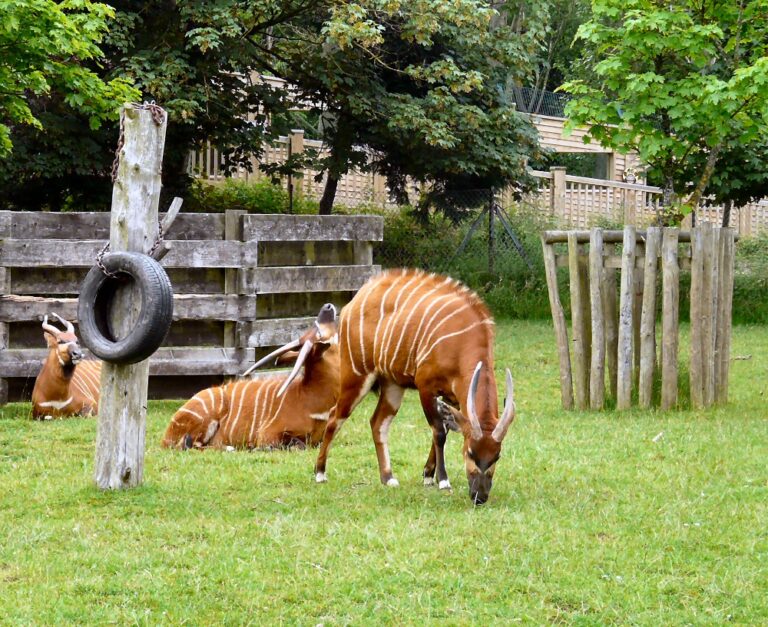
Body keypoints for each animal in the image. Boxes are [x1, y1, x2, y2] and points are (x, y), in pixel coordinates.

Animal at [162, 304, 340, 452]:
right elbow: (295, 445)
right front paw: (255, 448)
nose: (327, 307)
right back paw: (232, 448)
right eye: (318, 331)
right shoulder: (268, 434)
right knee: (188, 446)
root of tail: (164, 439)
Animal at [308, 268, 512, 506]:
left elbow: (444, 429)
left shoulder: (452, 398)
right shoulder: (426, 387)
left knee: (378, 423)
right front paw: (442, 480)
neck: (463, 342)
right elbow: (439, 431)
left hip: (393, 386)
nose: (479, 496)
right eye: (470, 452)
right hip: (356, 376)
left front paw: (428, 475)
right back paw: (320, 473)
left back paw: (388, 477)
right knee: (334, 416)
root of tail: (357, 298)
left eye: (497, 455)